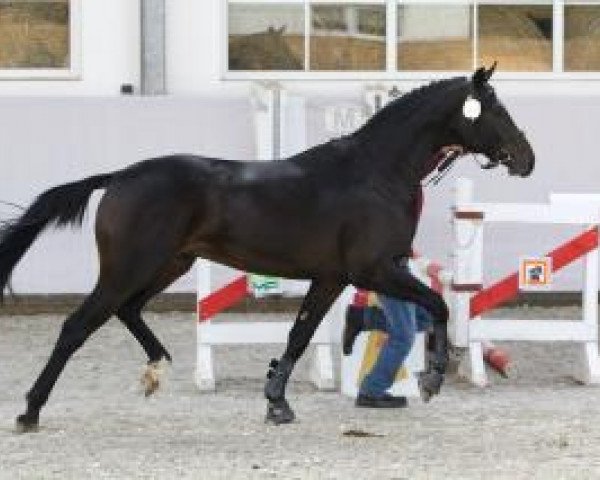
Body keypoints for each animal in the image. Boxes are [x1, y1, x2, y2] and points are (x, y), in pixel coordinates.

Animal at [0, 64, 536, 432]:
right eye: (496, 110)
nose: (526, 159)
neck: (376, 172)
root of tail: (118, 178)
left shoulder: (331, 278)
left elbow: (300, 336)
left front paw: (277, 401)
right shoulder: (374, 270)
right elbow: (439, 306)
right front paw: (431, 380)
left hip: (170, 264)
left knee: (128, 310)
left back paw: (155, 370)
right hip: (128, 269)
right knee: (77, 327)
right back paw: (30, 412)